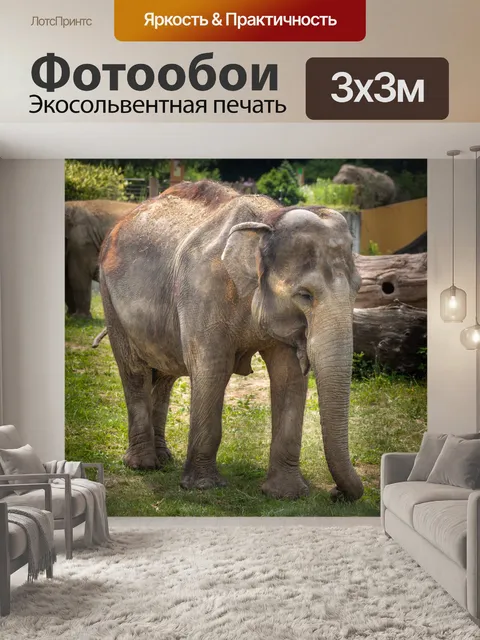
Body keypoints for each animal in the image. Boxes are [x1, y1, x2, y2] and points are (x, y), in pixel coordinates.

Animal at [99, 180, 364, 502]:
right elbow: (213, 369)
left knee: (164, 375)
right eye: (305, 295)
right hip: (109, 299)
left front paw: (286, 494)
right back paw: (143, 465)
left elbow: (288, 376)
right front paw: (202, 487)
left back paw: (164, 460)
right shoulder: (202, 290)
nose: (336, 493)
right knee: (135, 371)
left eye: (358, 289)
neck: (268, 220)